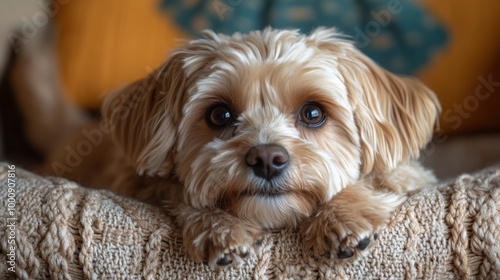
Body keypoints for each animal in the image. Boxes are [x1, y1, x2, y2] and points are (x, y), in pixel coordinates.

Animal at [48, 27, 442, 268]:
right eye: (219, 114)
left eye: (313, 112)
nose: (267, 158)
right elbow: (174, 189)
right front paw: (219, 226)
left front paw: (342, 213)